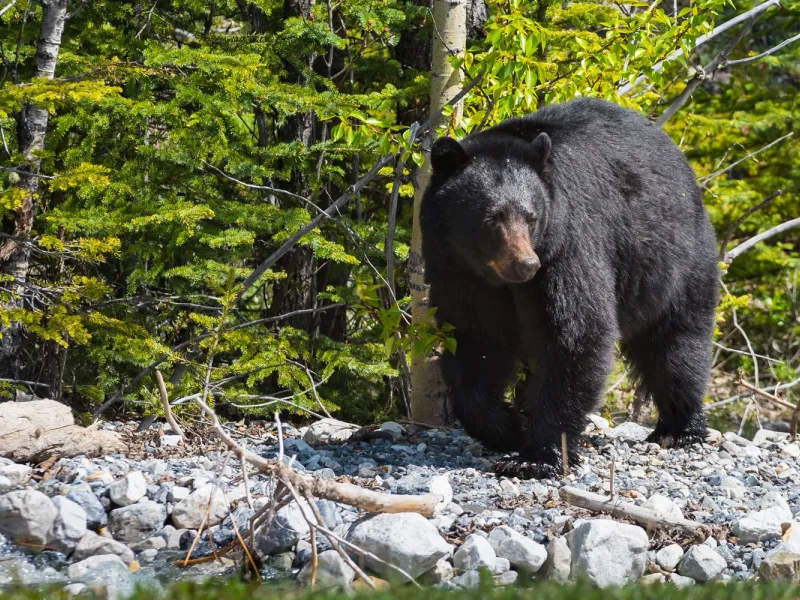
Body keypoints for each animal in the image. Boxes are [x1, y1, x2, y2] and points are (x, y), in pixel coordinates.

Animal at [420, 97, 719, 479]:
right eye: (492, 217)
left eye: (531, 217)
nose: (526, 265)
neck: (498, 279)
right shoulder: (460, 274)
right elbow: (477, 341)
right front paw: (509, 428)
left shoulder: (566, 247)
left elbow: (575, 333)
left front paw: (538, 456)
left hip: (675, 261)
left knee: (676, 345)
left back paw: (679, 428)